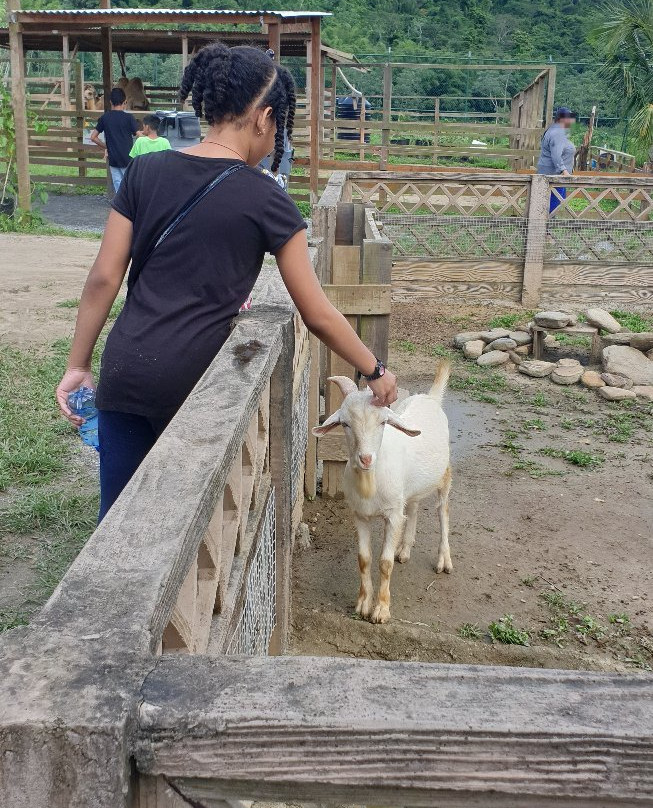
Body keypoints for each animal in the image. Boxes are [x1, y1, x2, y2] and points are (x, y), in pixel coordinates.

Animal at [314, 362, 450, 620]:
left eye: (383, 422)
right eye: (345, 423)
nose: (366, 458)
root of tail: (432, 397)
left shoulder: (393, 515)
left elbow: (385, 563)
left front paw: (381, 611)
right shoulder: (360, 515)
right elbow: (364, 559)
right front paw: (363, 604)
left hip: (445, 475)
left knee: (443, 512)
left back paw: (444, 560)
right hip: (411, 488)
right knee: (414, 507)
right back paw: (404, 549)